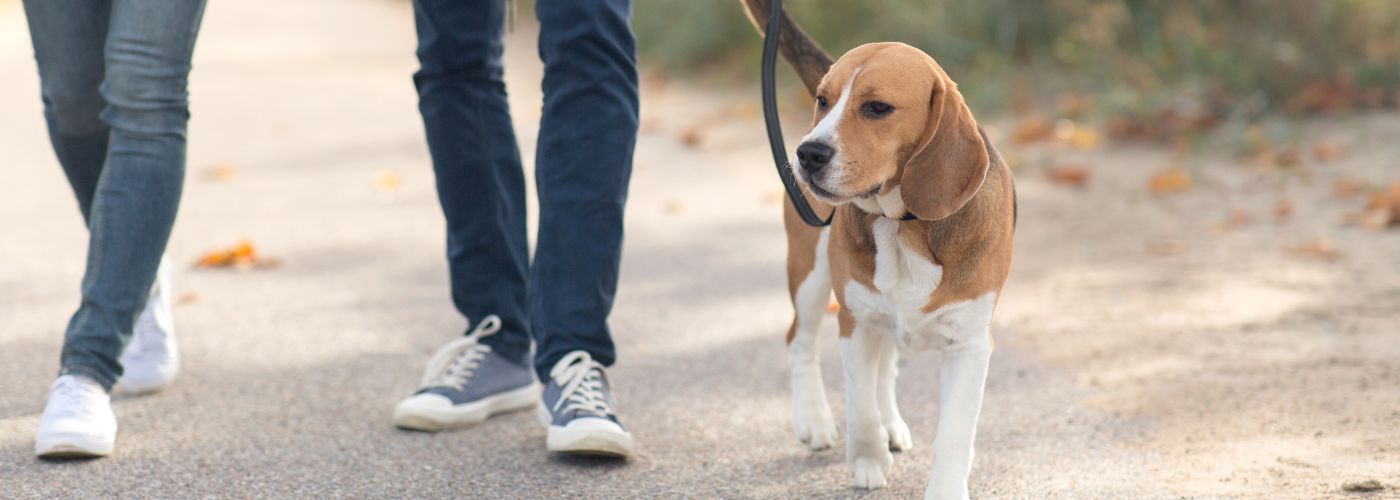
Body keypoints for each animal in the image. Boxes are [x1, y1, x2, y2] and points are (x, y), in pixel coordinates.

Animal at [784, 41, 1013, 495]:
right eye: (823, 100)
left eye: (877, 108)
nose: (808, 153)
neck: (901, 224)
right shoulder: (855, 322)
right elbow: (860, 408)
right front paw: (868, 462)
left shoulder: (969, 344)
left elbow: (954, 434)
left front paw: (945, 490)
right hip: (809, 274)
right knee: (799, 342)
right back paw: (814, 420)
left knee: (885, 371)